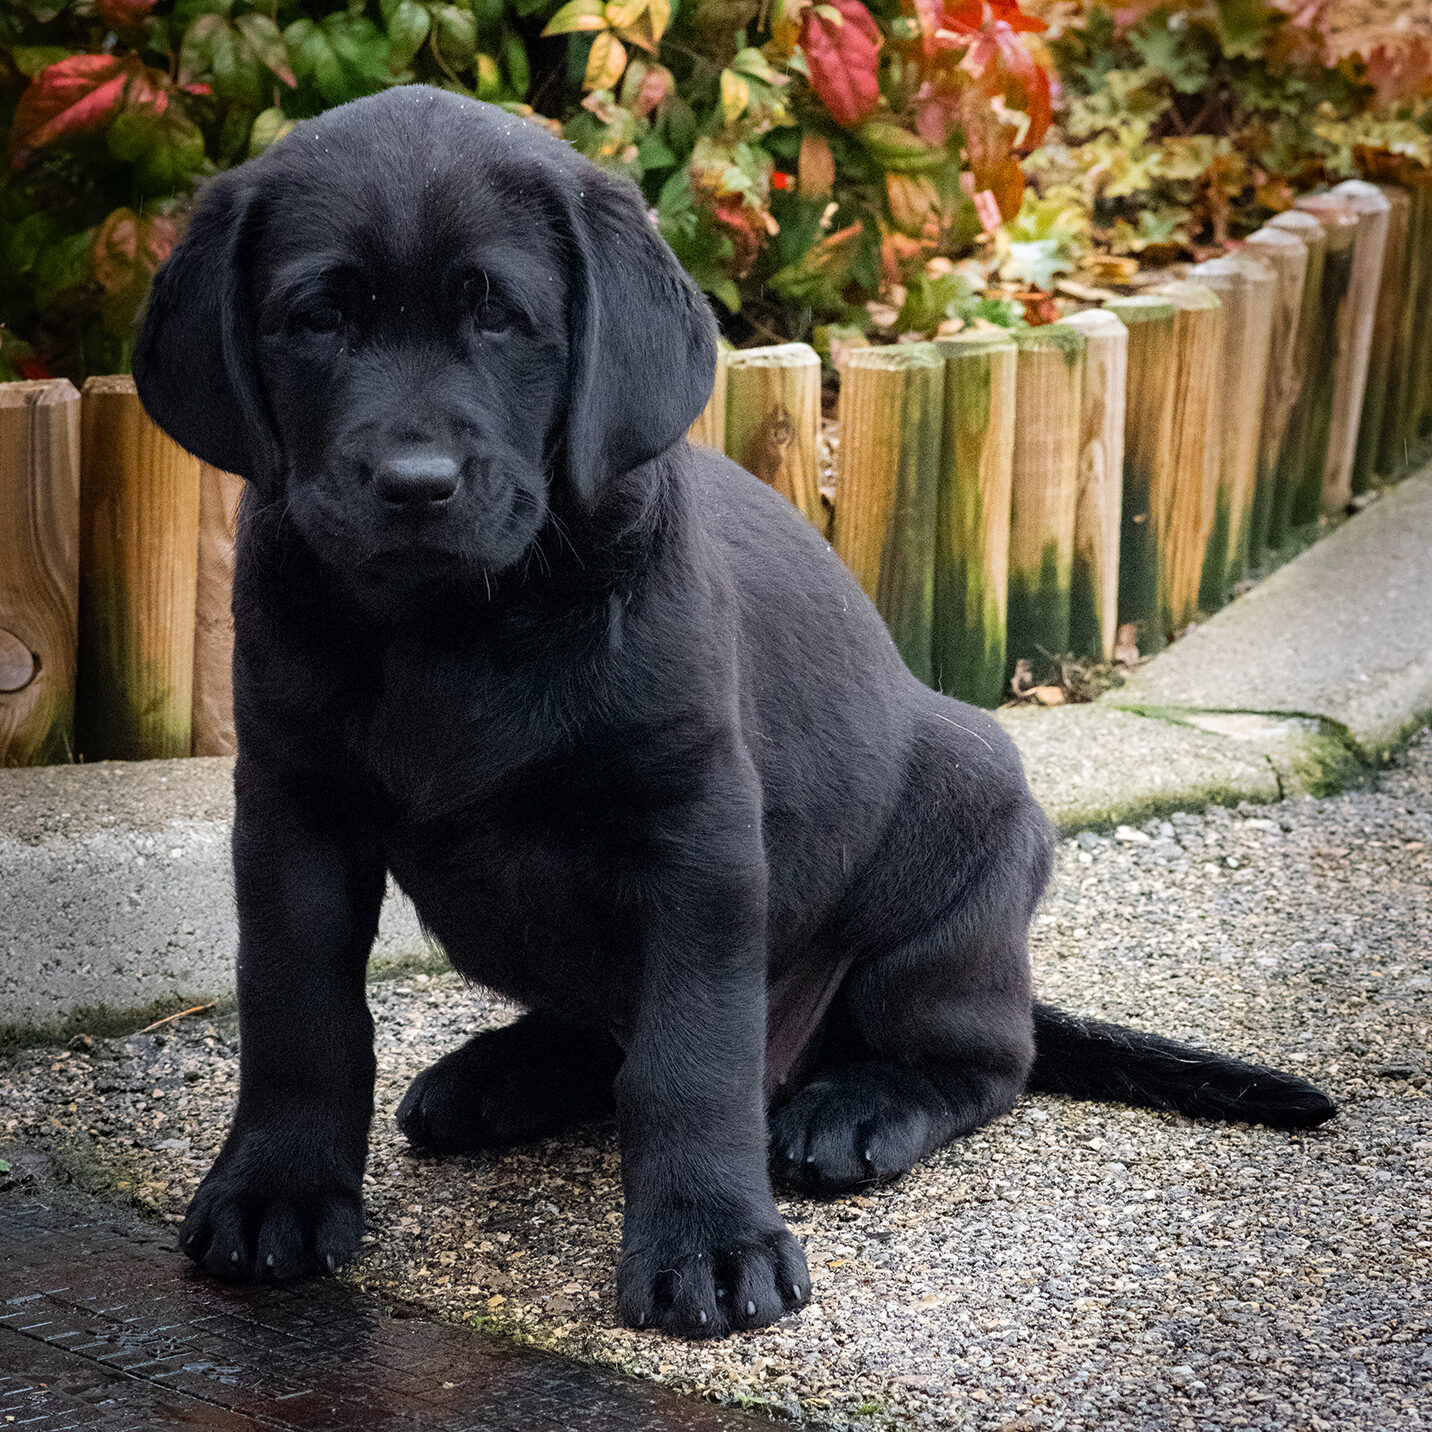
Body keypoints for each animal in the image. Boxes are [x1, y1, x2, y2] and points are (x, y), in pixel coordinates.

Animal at [131, 86, 1328, 1340]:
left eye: (499, 317)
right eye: (315, 318)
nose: (414, 484)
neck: (451, 628)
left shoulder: (695, 833)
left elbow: (688, 1058)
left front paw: (707, 1237)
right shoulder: (291, 813)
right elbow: (298, 1014)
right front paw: (275, 1188)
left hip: (959, 857)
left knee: (981, 1057)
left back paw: (854, 1108)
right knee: (593, 1030)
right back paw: (497, 1076)